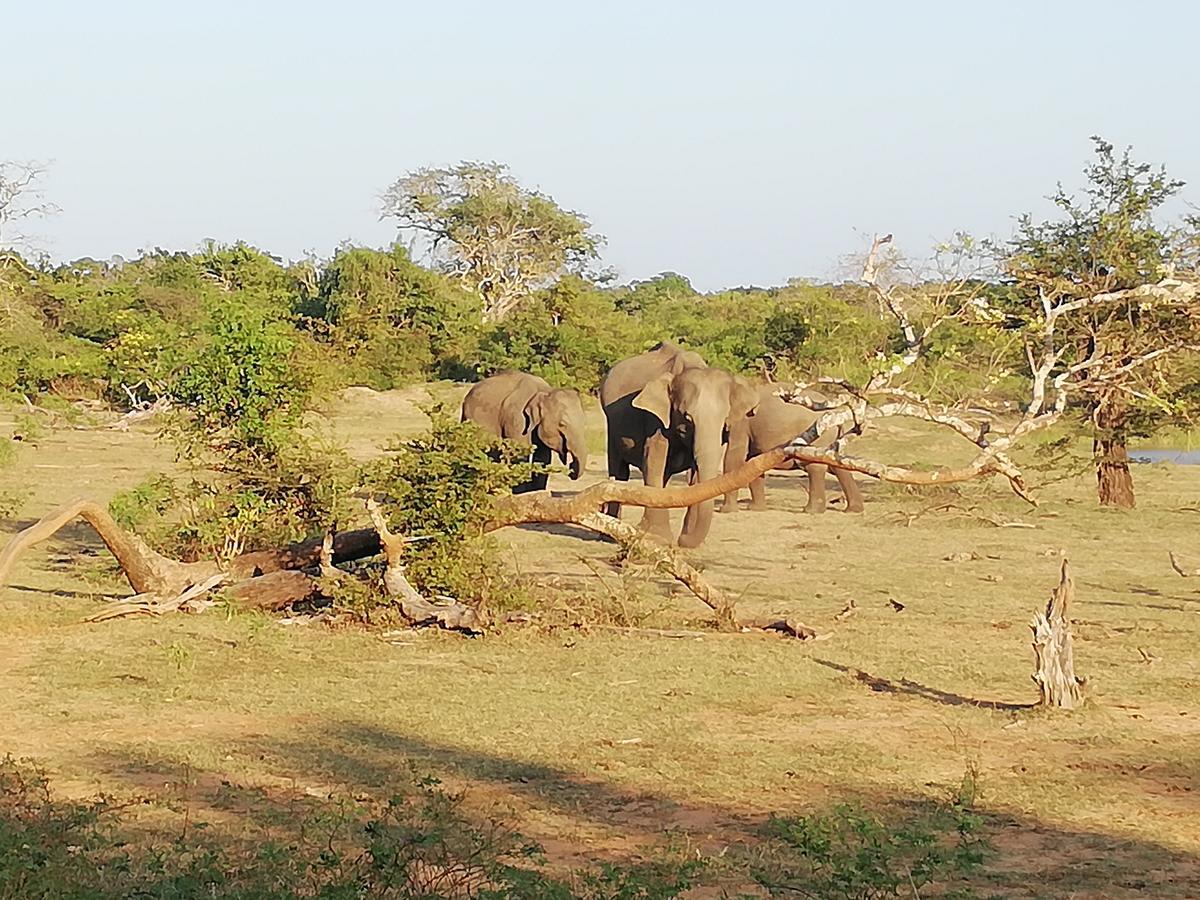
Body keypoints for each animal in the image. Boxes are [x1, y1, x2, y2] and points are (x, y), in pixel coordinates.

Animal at [460, 369, 588, 494]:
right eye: (562, 424)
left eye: (584, 422)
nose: (571, 468)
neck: (544, 391)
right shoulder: (517, 419)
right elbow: (520, 454)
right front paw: (520, 493)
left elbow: (543, 457)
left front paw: (536, 491)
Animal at [600, 340, 758, 547]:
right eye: (687, 417)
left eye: (725, 419)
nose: (682, 541)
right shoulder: (655, 420)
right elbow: (653, 462)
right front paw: (658, 538)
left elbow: (695, 475)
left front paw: (682, 537)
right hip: (612, 426)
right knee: (619, 470)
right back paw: (609, 534)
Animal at [720, 386, 864, 518]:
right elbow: (752, 460)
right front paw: (755, 509)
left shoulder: (741, 423)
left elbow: (734, 456)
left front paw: (725, 510)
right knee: (837, 466)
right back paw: (853, 510)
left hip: (819, 436)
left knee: (815, 466)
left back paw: (812, 511)